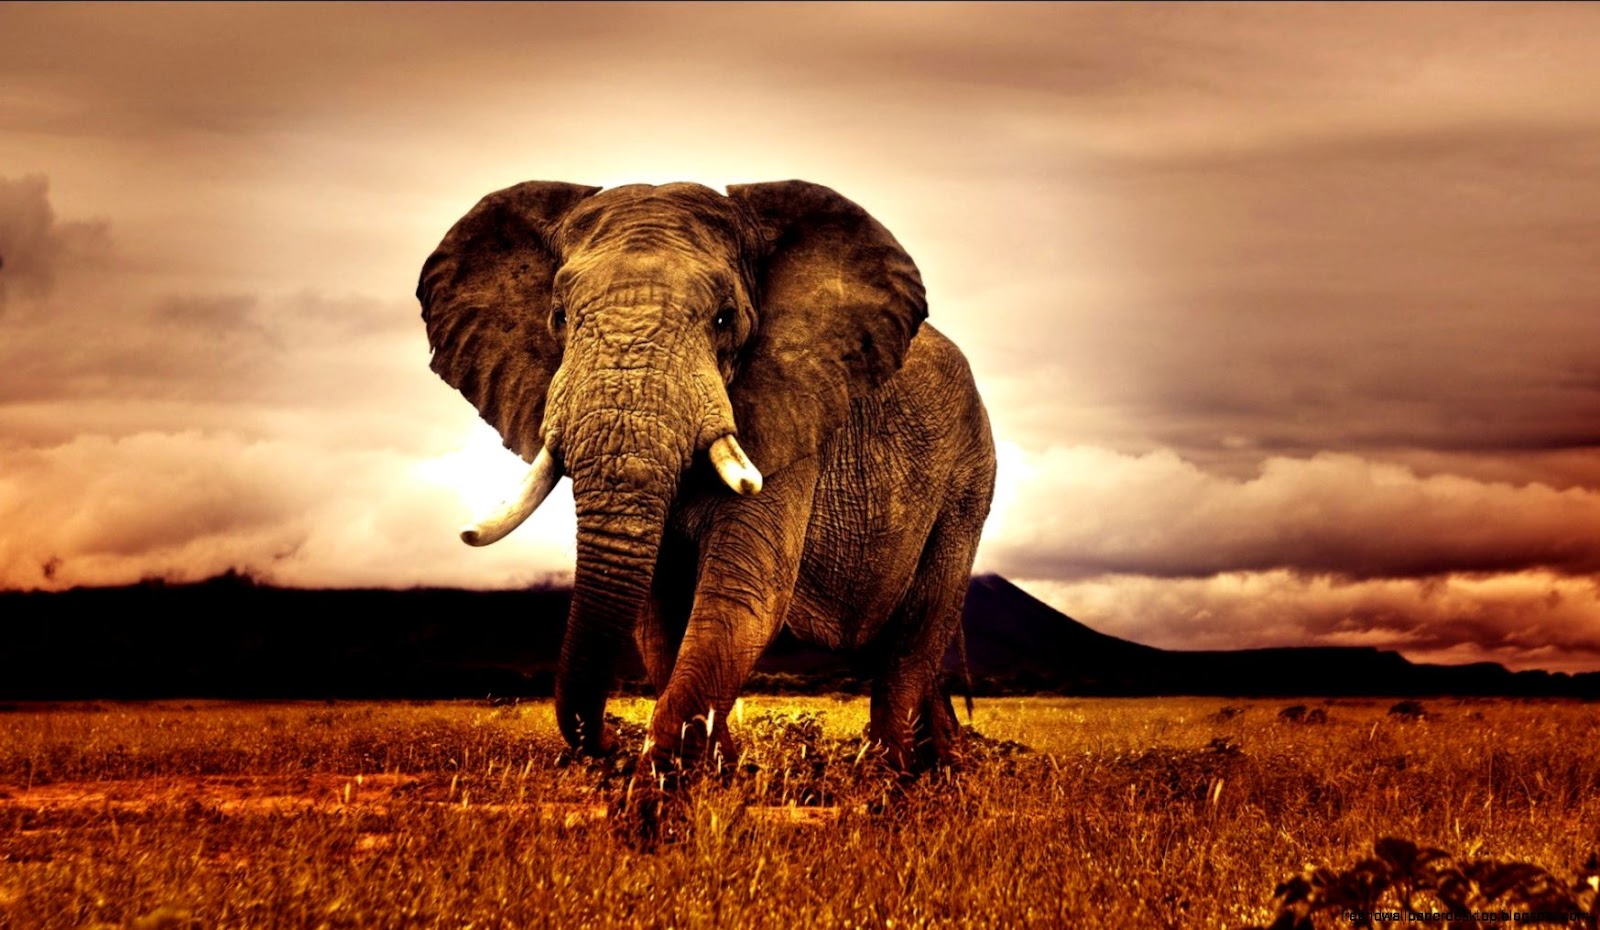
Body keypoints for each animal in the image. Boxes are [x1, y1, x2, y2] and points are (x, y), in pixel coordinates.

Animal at [416, 180, 995, 771]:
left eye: (725, 319)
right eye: (558, 316)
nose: (607, 743)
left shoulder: (790, 416)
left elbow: (741, 593)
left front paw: (669, 771)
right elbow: (659, 613)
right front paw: (718, 768)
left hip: (969, 478)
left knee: (918, 628)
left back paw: (889, 773)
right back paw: (940, 766)